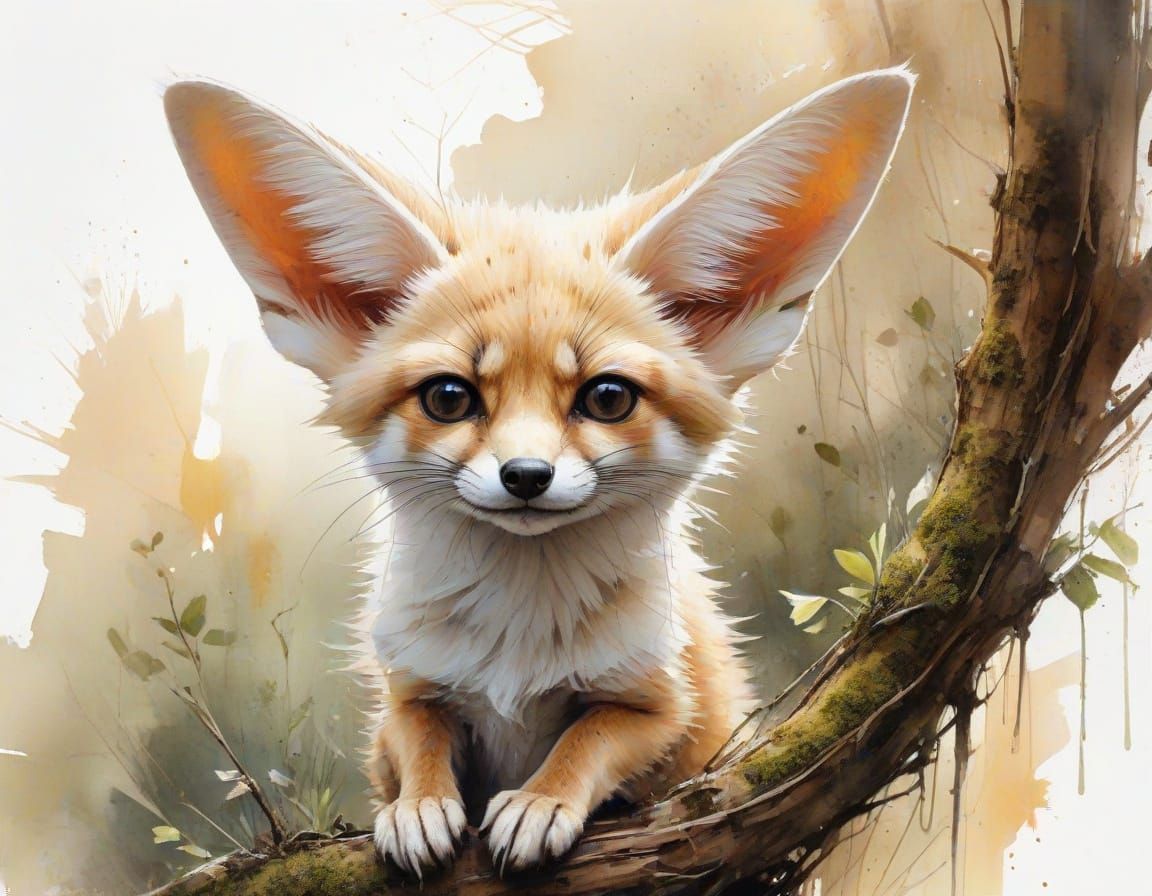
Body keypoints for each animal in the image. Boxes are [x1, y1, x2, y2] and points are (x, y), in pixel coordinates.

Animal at [163, 67, 913, 877]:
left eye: (607, 397)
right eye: (450, 397)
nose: (526, 474)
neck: (516, 642)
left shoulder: (665, 705)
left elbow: (591, 736)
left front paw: (539, 802)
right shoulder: (405, 687)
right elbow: (416, 734)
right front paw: (420, 807)